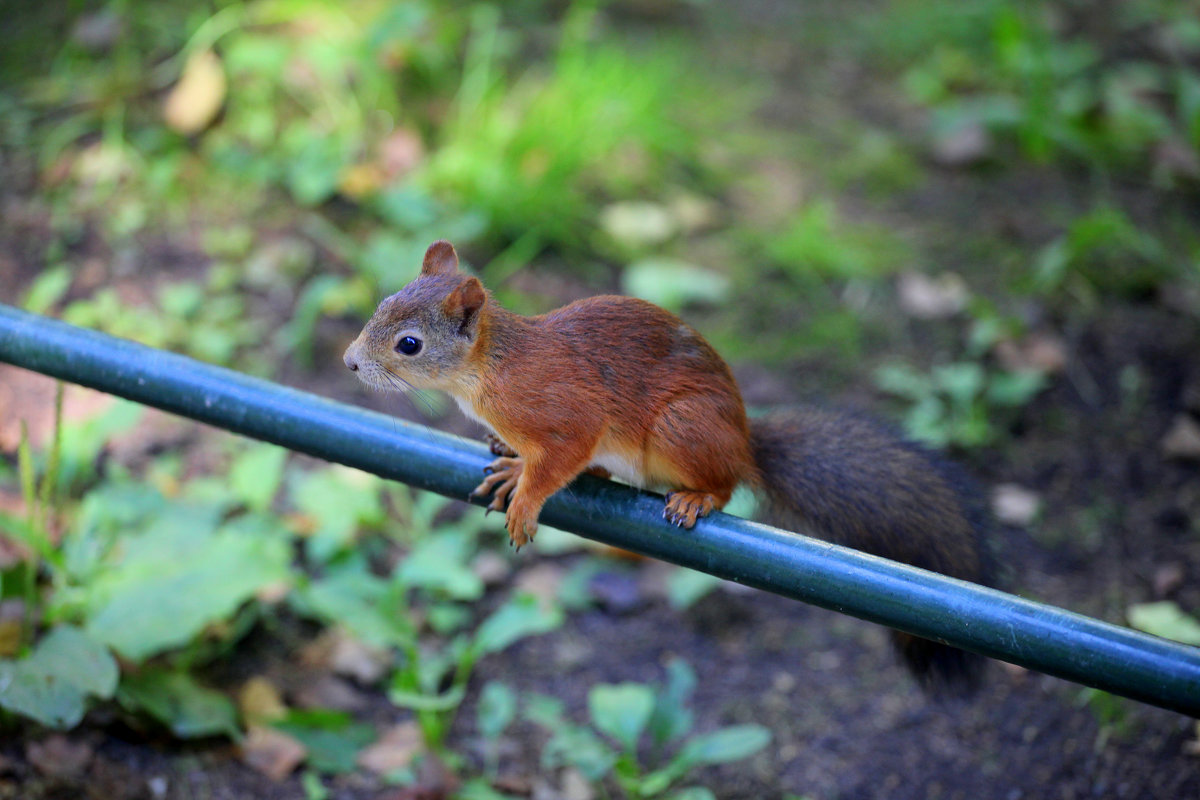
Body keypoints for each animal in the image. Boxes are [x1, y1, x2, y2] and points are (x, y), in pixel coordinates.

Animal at [345, 239, 993, 690]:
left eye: (409, 344)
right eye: (379, 306)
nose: (349, 362)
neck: (488, 372)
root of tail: (744, 441)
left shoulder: (569, 416)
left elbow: (558, 460)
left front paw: (527, 498)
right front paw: (513, 467)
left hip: (683, 428)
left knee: (725, 485)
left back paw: (696, 498)